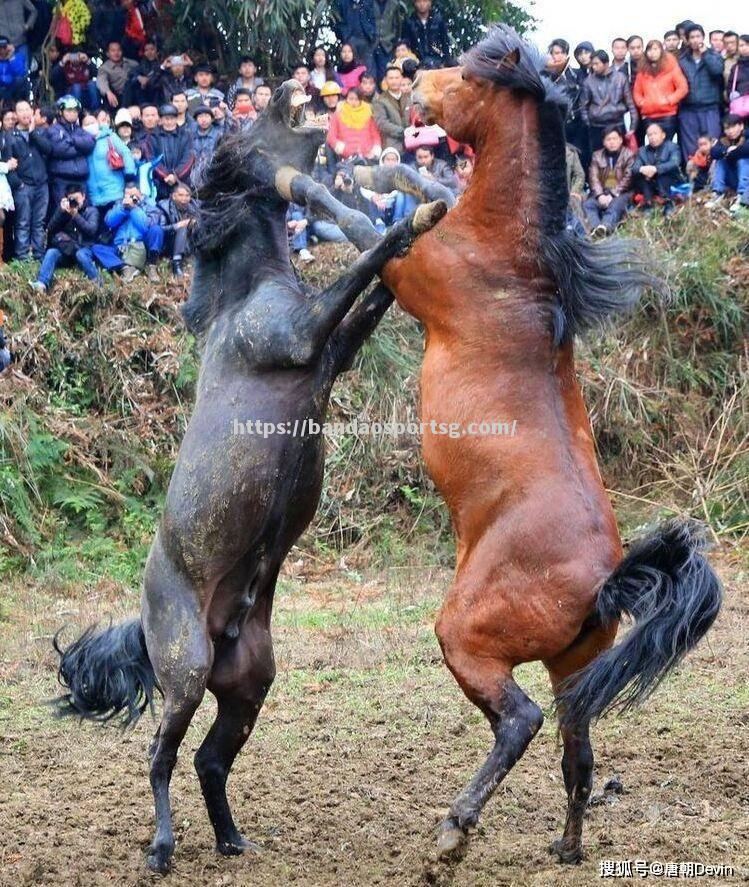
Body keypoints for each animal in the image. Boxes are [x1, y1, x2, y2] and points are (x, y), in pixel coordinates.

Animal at [57, 81, 450, 876]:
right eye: (242, 130)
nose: (295, 91)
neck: (242, 295)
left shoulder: (332, 354)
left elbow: (373, 295)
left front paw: (415, 219)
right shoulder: (302, 337)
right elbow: (362, 273)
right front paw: (412, 218)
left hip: (246, 684)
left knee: (208, 760)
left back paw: (232, 838)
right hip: (186, 673)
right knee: (159, 755)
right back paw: (162, 847)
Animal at [360, 29, 720, 868]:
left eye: (466, 77)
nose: (410, 82)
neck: (509, 251)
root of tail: (604, 581)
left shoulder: (403, 270)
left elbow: (353, 217)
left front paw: (362, 175)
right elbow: (412, 187)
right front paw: (396, 172)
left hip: (468, 636)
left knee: (518, 721)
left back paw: (454, 829)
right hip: (574, 669)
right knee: (576, 753)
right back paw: (565, 846)